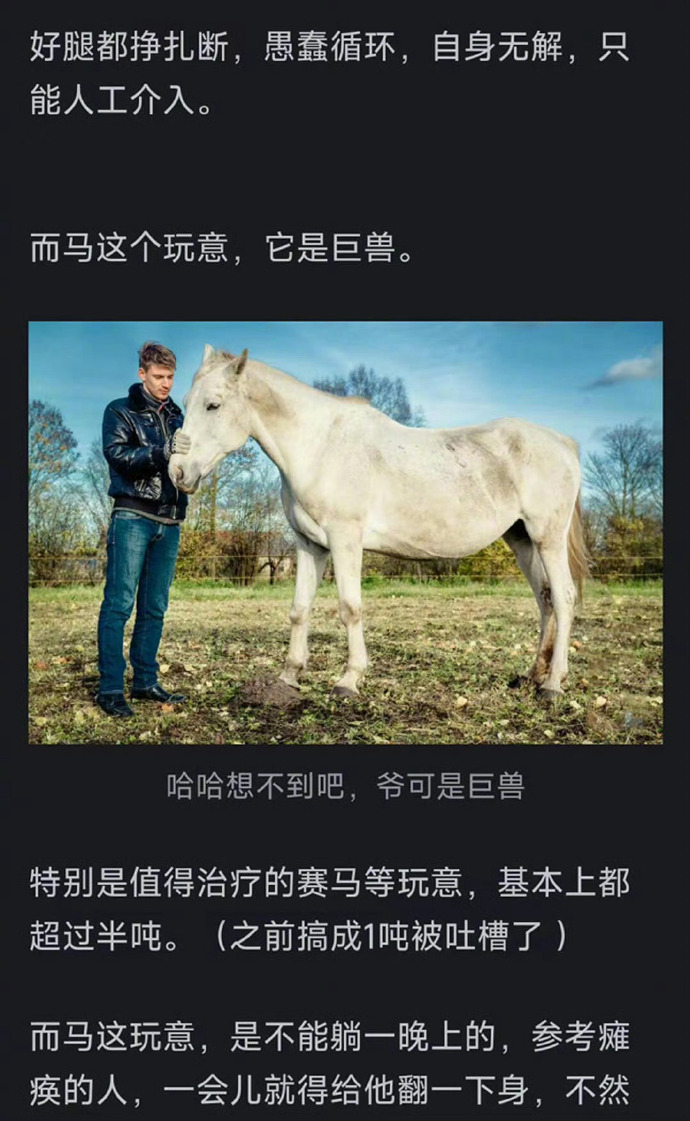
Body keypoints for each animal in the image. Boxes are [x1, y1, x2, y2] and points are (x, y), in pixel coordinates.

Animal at [170, 345, 589, 701]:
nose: (178, 473)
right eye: (186, 403)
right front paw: (289, 676)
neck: (320, 446)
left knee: (564, 598)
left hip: (547, 538)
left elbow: (349, 607)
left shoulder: (345, 540)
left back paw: (552, 685)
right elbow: (299, 608)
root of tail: (563, 443)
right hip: (522, 540)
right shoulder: (310, 545)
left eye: (213, 405)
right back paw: (532, 676)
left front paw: (349, 679)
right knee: (545, 599)